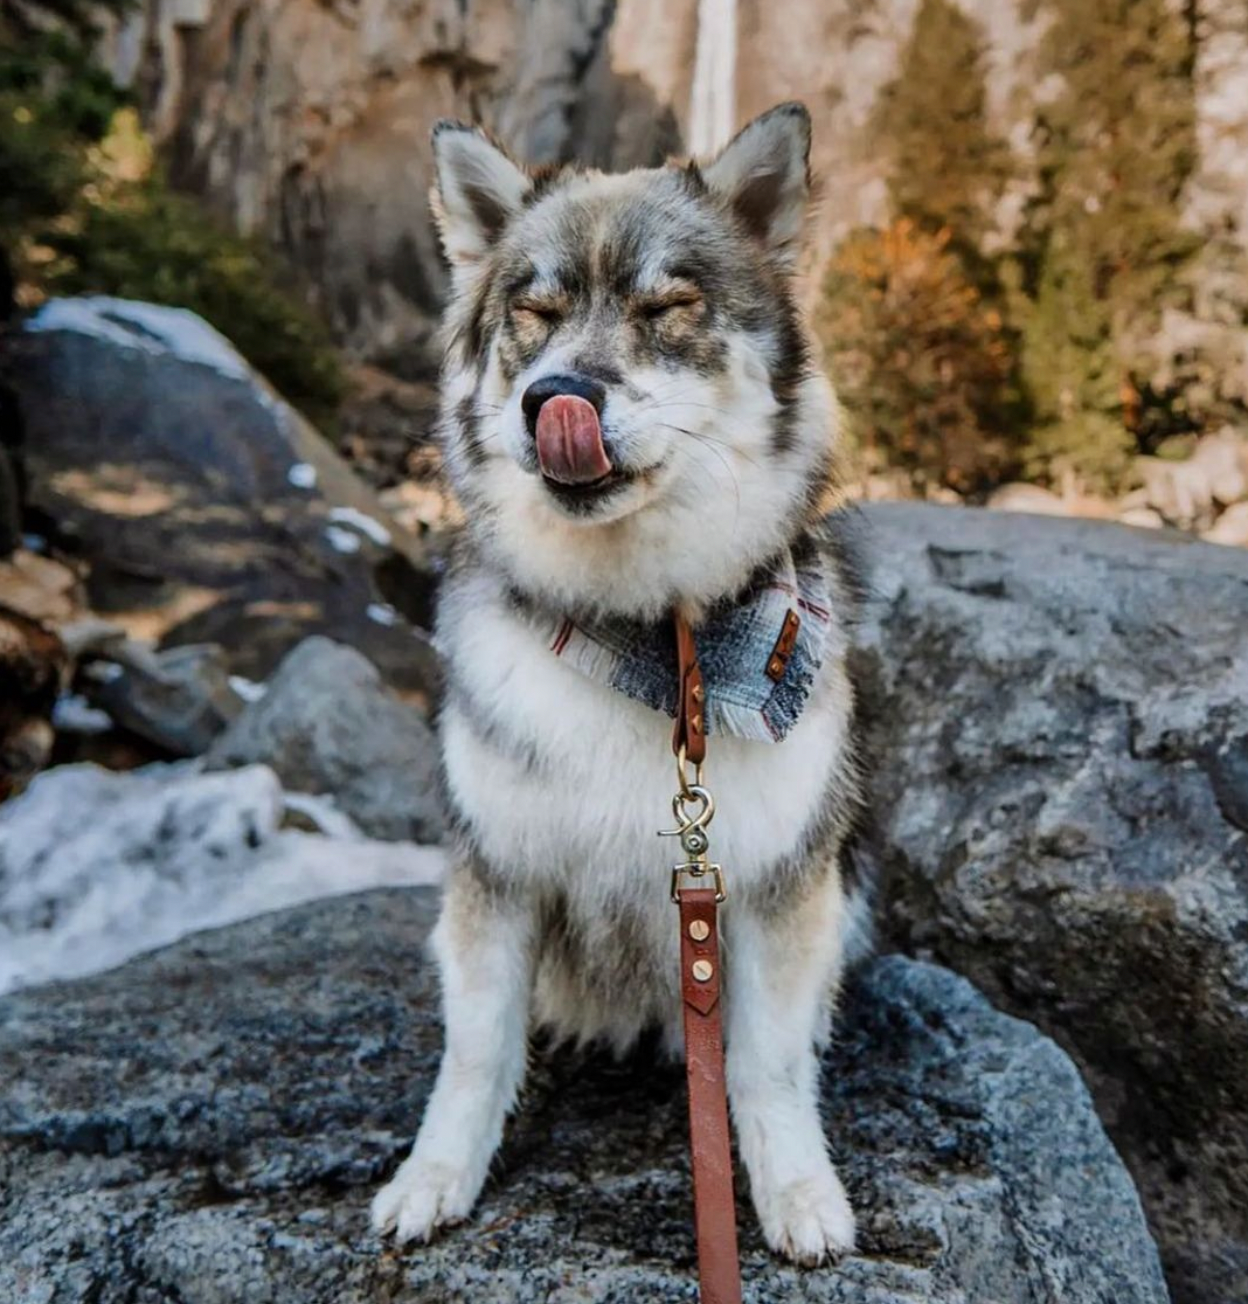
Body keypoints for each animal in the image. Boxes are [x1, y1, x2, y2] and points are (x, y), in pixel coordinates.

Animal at [372, 101, 865, 1262]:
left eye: (668, 307)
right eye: (534, 313)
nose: (555, 398)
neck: (644, 625)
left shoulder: (773, 887)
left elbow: (770, 1064)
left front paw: (793, 1185)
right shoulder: (496, 874)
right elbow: (475, 1052)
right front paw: (437, 1175)